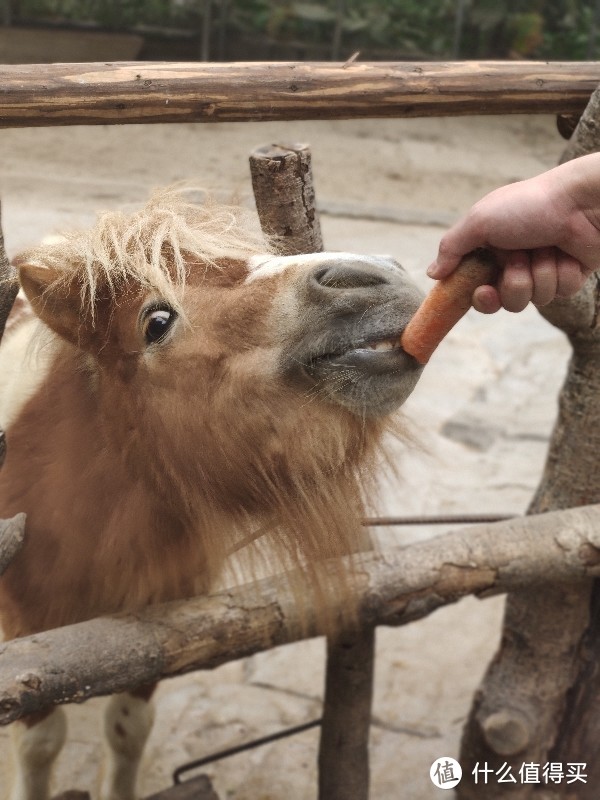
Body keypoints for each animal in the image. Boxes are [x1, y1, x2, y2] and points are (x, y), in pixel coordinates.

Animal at [0, 189, 422, 800]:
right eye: (156, 321)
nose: (375, 277)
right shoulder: (28, 631)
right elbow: (39, 746)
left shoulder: (152, 633)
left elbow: (127, 728)